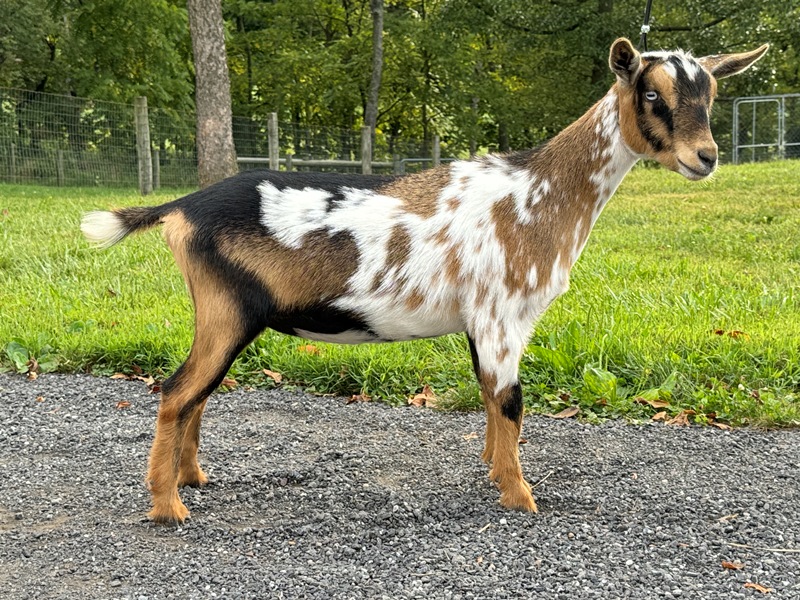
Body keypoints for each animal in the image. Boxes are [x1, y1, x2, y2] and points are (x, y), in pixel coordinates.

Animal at [81, 39, 768, 524]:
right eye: (651, 94)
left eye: (711, 94)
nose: (706, 157)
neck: (538, 193)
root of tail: (180, 208)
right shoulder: (502, 313)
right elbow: (511, 401)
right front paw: (521, 497)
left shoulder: (483, 320)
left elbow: (490, 398)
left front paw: (494, 474)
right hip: (227, 310)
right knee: (177, 391)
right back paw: (168, 508)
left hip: (224, 315)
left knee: (196, 394)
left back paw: (191, 479)